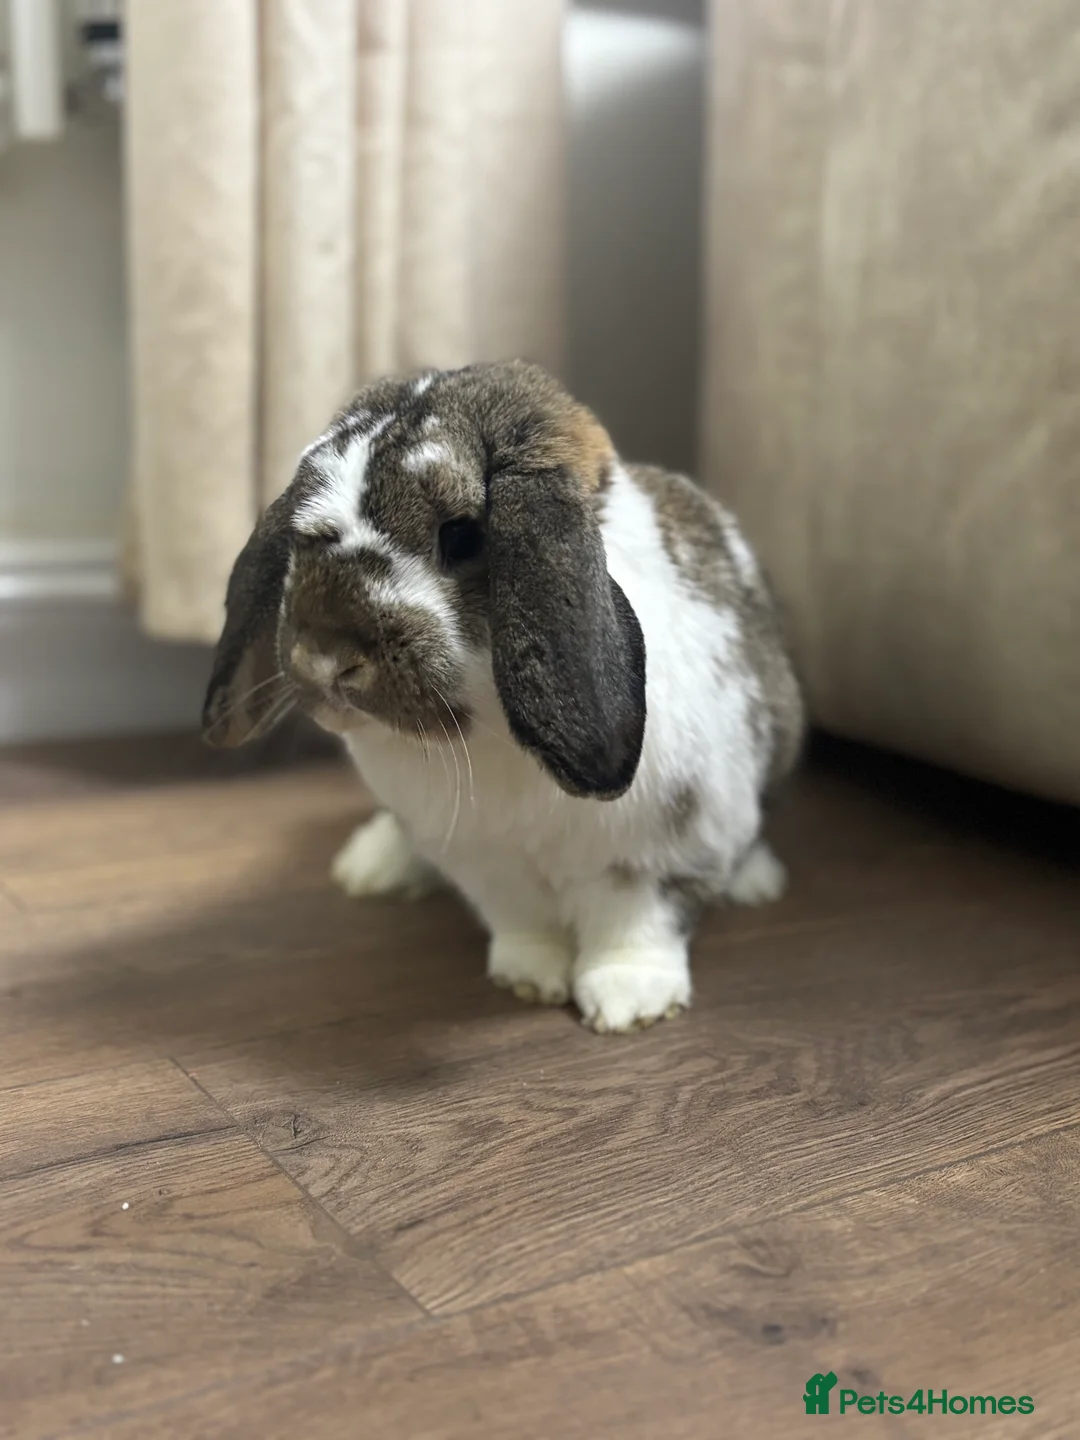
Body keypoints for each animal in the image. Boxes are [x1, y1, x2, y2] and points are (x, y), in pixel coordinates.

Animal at [202, 361, 805, 1033]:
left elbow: (637, 923)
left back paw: (756, 882)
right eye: (300, 533)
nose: (323, 657)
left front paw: (628, 1003)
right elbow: (523, 921)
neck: (489, 730)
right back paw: (371, 866)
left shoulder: (660, 853)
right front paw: (529, 978)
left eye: (463, 537)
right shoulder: (486, 863)